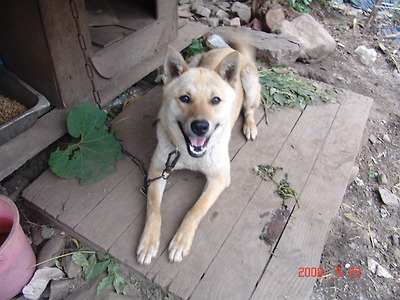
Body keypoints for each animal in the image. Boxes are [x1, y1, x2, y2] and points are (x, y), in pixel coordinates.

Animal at [136, 41, 260, 264]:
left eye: (216, 100)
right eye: (185, 98)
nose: (200, 126)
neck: (188, 155)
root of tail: (230, 49)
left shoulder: (219, 178)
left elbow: (195, 210)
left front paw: (180, 241)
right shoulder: (157, 170)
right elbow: (153, 208)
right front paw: (149, 242)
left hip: (249, 84)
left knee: (249, 109)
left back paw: (250, 126)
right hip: (194, 59)